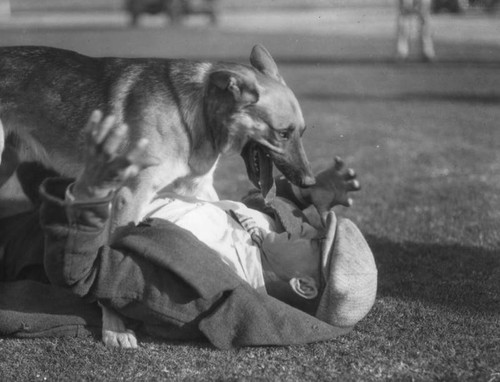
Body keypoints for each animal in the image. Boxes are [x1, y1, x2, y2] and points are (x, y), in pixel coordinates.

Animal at [0, 44, 312, 346]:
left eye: (302, 132)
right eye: (283, 133)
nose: (308, 181)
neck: (199, 111)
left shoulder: (196, 187)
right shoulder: (130, 198)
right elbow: (108, 268)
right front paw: (114, 328)